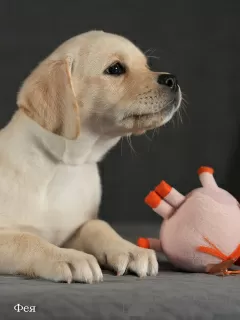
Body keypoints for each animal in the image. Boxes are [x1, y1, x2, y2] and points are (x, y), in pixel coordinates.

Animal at [0, 30, 182, 282]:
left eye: (146, 66)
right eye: (115, 69)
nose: (172, 80)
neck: (65, 165)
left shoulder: (73, 229)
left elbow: (97, 226)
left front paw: (129, 249)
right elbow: (26, 239)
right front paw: (68, 257)